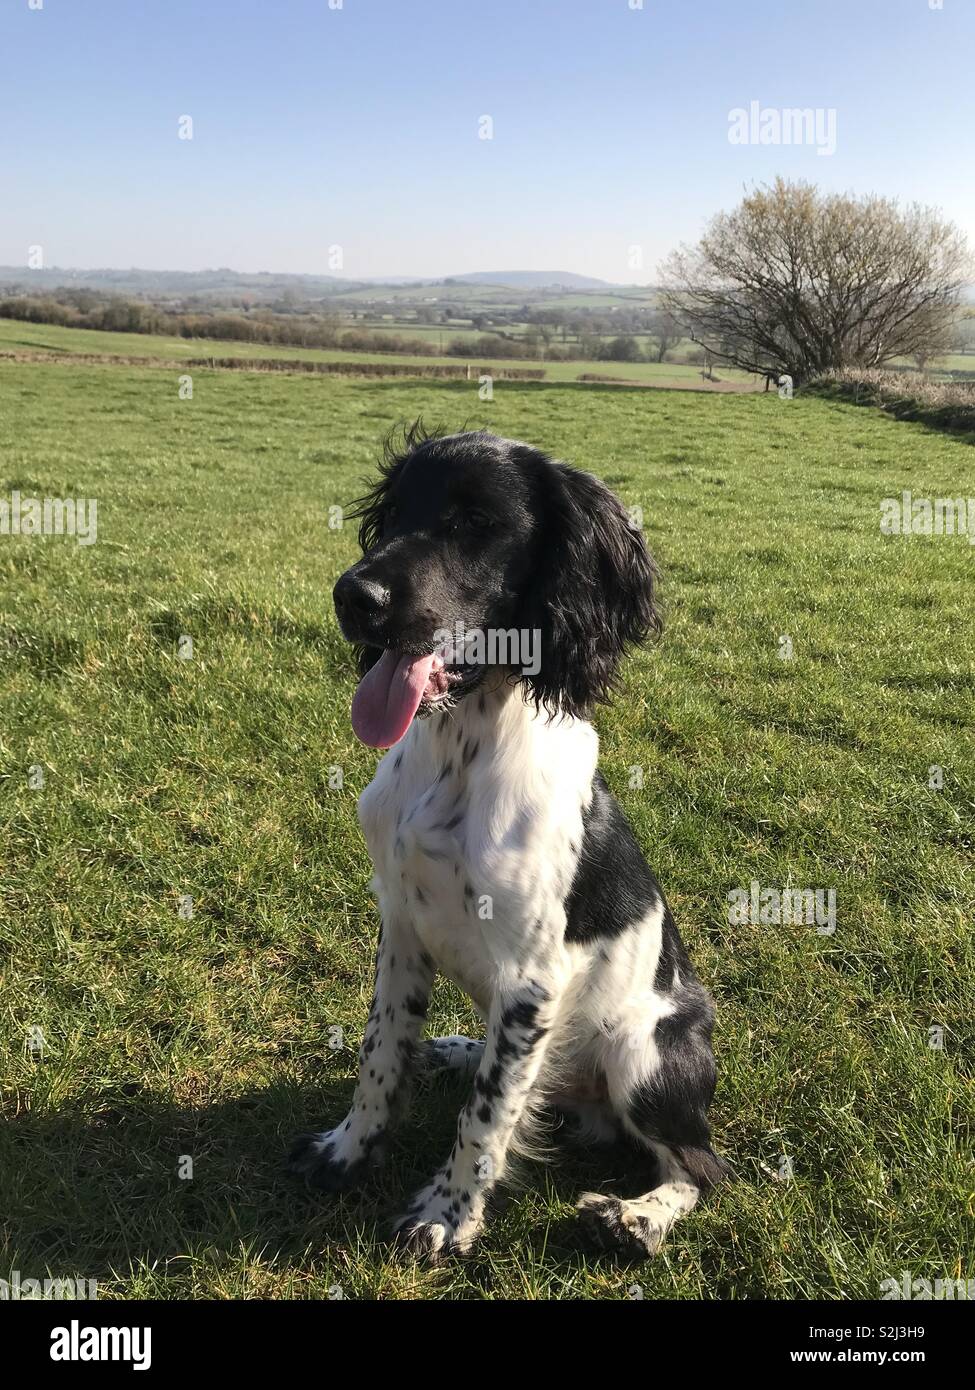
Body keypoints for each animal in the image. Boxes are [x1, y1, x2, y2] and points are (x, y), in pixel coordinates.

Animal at [289, 422, 723, 1262]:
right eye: (393, 515)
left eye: (475, 524)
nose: (353, 597)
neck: (458, 751)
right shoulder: (400, 926)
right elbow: (379, 1054)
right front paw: (349, 1151)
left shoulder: (532, 980)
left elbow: (487, 1114)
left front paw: (446, 1214)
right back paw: (456, 1048)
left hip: (641, 1054)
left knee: (702, 1165)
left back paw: (635, 1218)